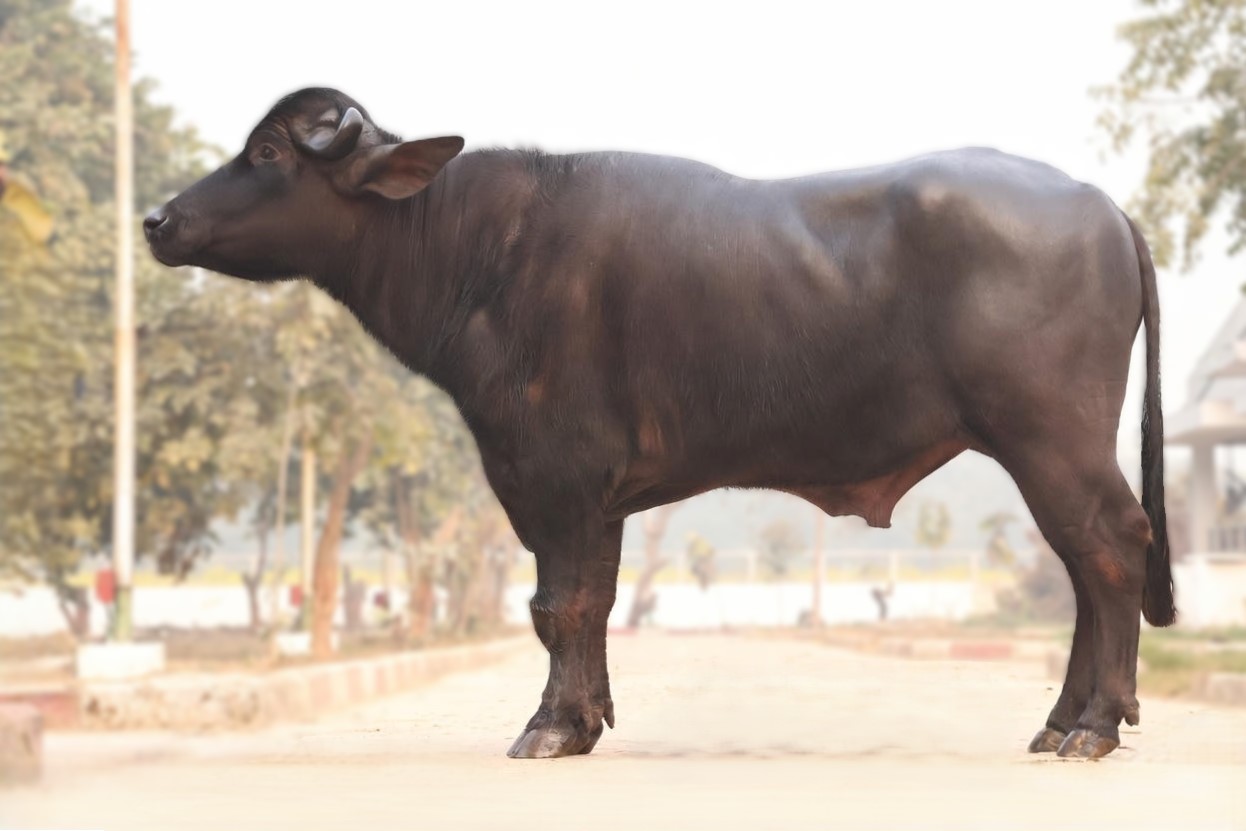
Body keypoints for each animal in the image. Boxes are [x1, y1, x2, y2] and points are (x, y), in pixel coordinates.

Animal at [145, 87, 1175, 760]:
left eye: (269, 154)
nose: (158, 219)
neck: (481, 252)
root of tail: (1104, 208)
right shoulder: (590, 498)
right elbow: (590, 603)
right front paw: (588, 718)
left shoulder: (554, 478)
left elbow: (558, 604)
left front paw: (549, 726)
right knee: (1086, 568)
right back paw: (1062, 719)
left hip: (1052, 437)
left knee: (1113, 549)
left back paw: (1095, 724)